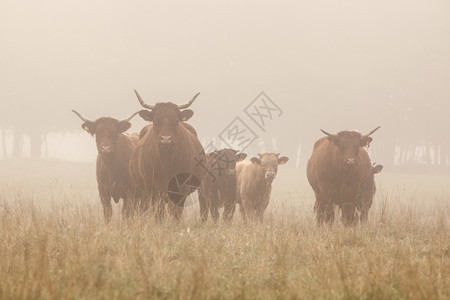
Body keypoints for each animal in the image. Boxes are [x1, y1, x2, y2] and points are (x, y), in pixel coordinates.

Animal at [128, 89, 207, 220]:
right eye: (156, 121)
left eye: (175, 120)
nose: (166, 139)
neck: (166, 163)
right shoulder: (154, 190)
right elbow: (159, 213)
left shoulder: (181, 190)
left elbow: (177, 213)